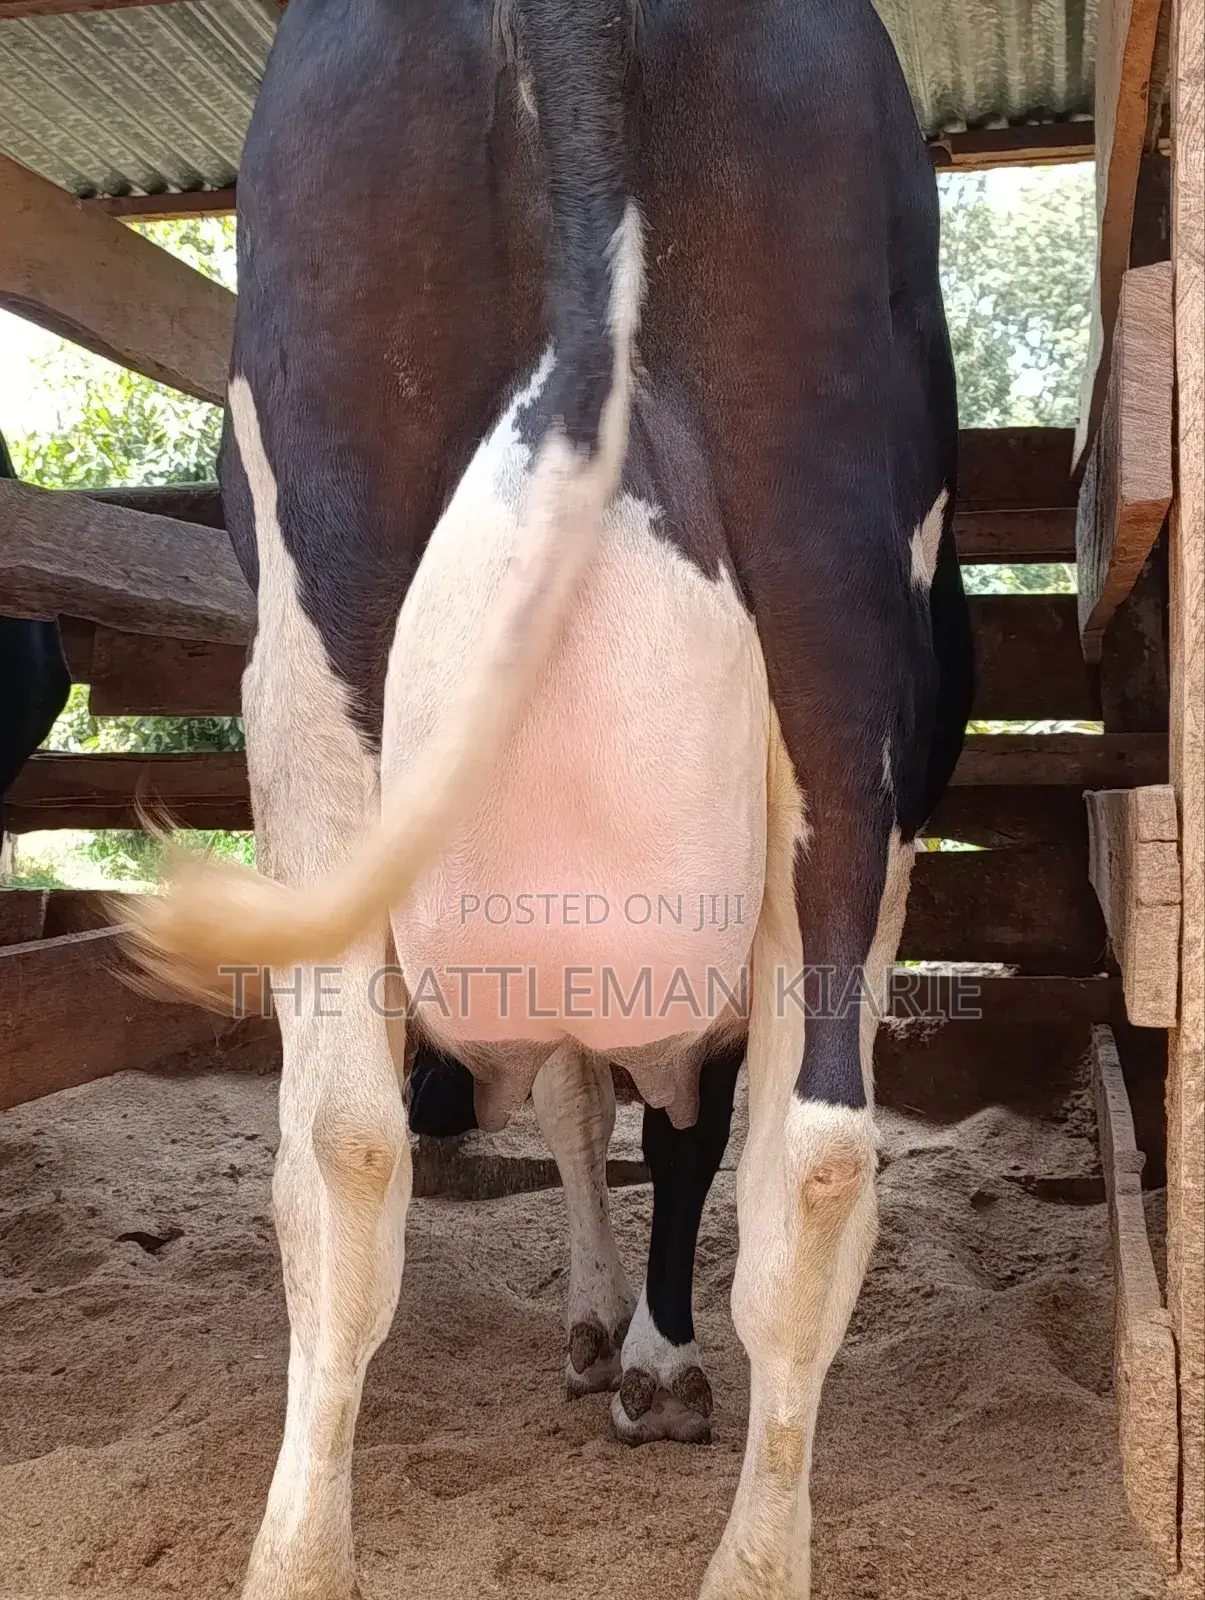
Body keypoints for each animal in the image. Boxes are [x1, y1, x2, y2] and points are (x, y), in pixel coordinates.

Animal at [122, 0, 974, 1594]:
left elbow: (609, 1118)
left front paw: (622, 1345)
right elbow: (630, 1123)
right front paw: (633, 1348)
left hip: (315, 634)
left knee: (350, 1140)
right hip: (831, 646)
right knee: (811, 1158)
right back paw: (743, 1555)